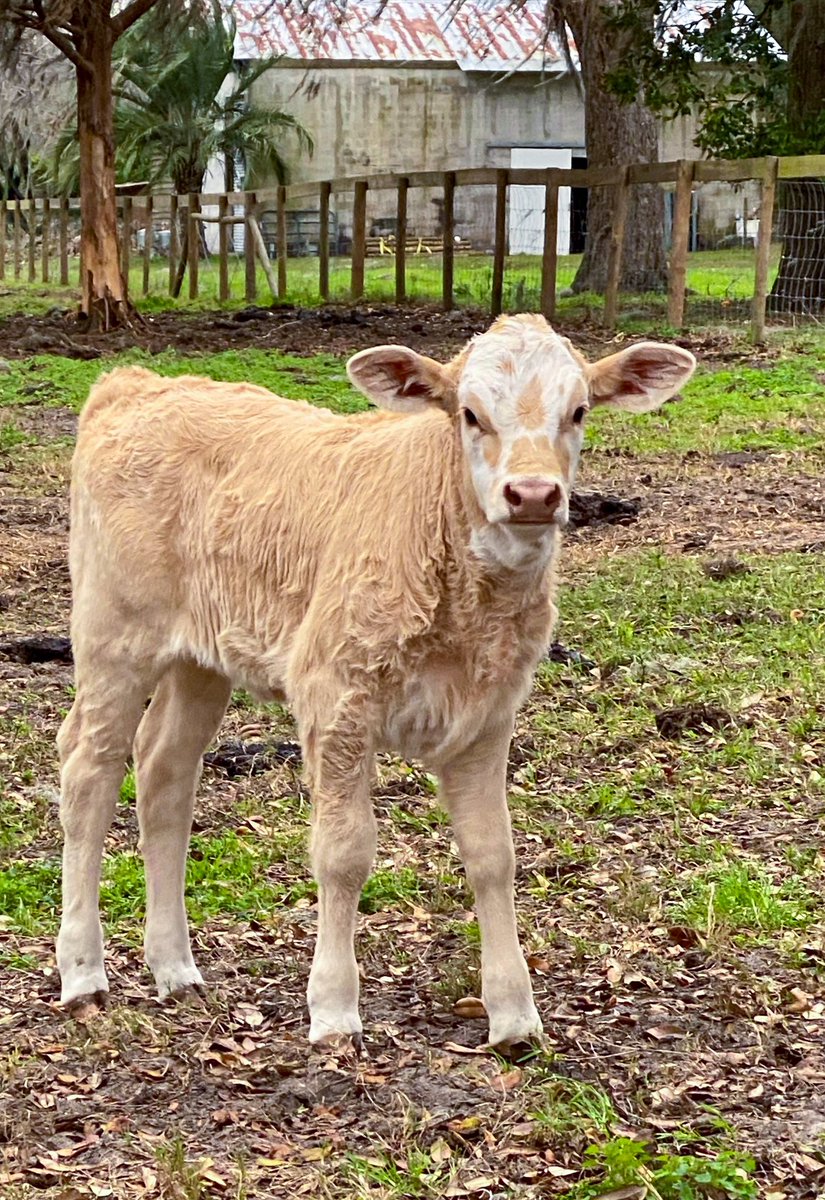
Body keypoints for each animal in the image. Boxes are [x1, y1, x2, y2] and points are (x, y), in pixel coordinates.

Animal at [56, 314, 695, 1050]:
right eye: (469, 414)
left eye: (579, 411)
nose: (533, 494)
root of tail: (133, 382)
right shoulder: (336, 695)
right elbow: (343, 853)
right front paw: (333, 1009)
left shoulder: (488, 714)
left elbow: (493, 855)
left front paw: (513, 1015)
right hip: (113, 633)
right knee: (89, 768)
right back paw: (82, 972)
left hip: (203, 655)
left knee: (164, 770)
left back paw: (175, 967)